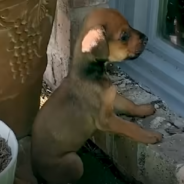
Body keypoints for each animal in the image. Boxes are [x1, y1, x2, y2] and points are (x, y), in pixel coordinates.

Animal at [31, 7, 162, 184]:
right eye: (124, 36)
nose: (147, 38)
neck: (92, 72)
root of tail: (34, 169)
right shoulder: (106, 119)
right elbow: (131, 126)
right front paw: (150, 136)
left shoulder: (112, 97)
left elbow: (130, 104)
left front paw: (145, 109)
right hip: (74, 162)